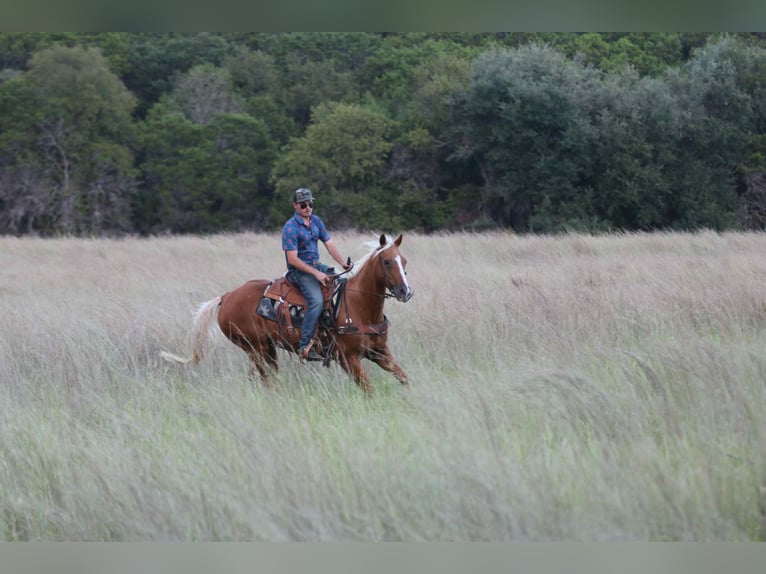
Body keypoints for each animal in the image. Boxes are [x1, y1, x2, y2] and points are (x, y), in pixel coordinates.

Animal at [161, 233, 413, 393]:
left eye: (404, 260)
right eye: (387, 261)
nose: (406, 291)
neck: (358, 305)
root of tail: (227, 296)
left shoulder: (379, 352)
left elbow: (403, 377)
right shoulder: (348, 358)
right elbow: (369, 389)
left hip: (265, 350)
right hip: (256, 348)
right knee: (266, 380)